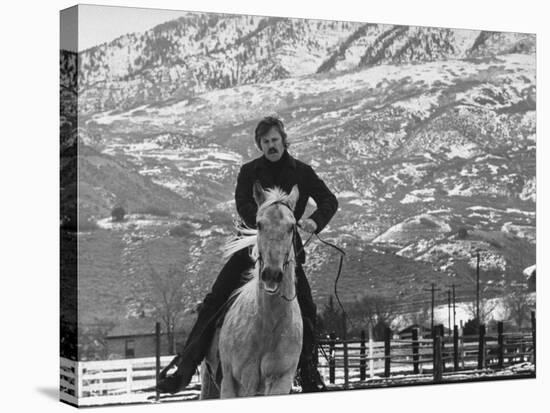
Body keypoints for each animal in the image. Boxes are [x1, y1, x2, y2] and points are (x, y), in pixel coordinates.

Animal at [199, 183, 302, 396]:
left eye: (291, 227)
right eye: (259, 224)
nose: (271, 274)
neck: (267, 326)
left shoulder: (281, 380)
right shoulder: (233, 382)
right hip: (209, 380)